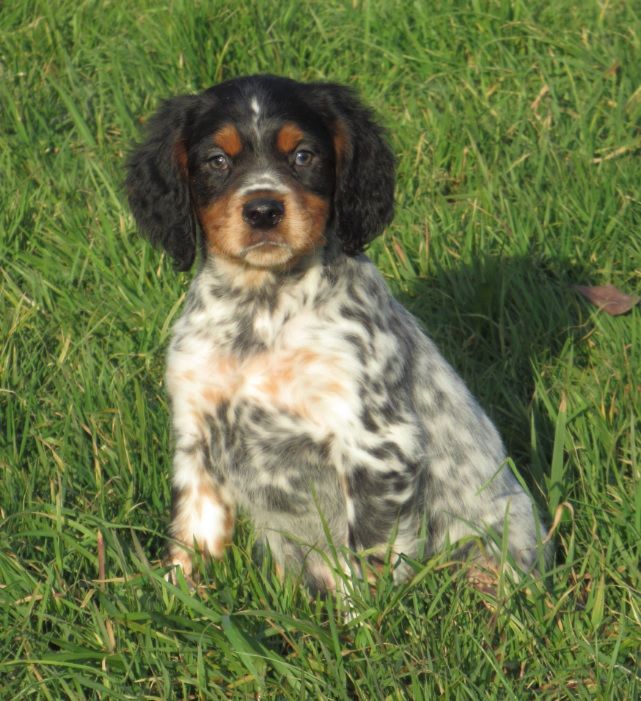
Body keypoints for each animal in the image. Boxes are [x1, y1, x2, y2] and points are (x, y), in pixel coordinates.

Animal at [127, 74, 548, 592]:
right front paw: (177, 599)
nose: (263, 210)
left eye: (303, 155)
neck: (261, 311)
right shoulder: (197, 434)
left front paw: (364, 615)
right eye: (217, 160)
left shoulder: (375, 443)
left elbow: (367, 561)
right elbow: (192, 540)